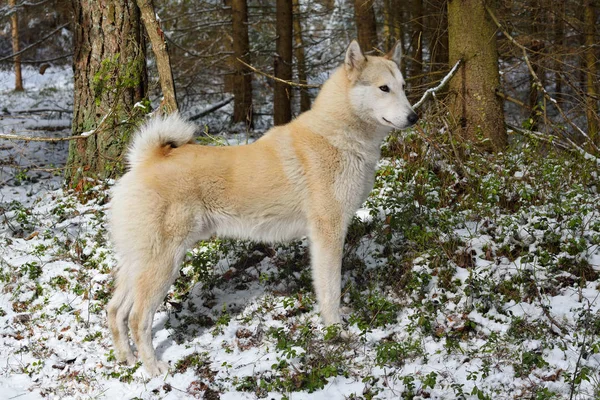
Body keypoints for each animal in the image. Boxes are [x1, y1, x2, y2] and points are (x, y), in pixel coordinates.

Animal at [108, 40, 418, 376]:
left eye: (403, 87)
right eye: (383, 88)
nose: (414, 117)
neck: (337, 135)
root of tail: (147, 160)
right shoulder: (329, 233)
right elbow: (331, 288)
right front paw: (336, 329)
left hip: (138, 263)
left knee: (115, 311)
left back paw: (127, 359)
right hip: (162, 264)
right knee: (138, 318)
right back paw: (153, 369)